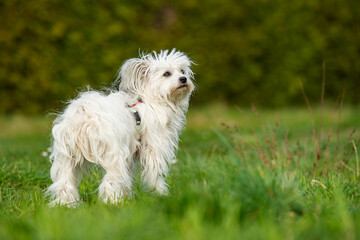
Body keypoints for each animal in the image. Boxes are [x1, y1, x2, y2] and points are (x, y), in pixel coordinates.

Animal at [47, 49, 195, 206]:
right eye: (167, 74)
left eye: (182, 71)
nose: (183, 79)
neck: (153, 100)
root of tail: (84, 118)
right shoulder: (153, 150)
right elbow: (155, 176)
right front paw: (161, 195)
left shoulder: (131, 154)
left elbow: (128, 180)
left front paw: (128, 196)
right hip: (115, 157)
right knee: (110, 182)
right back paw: (113, 203)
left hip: (67, 159)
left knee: (64, 183)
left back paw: (66, 205)